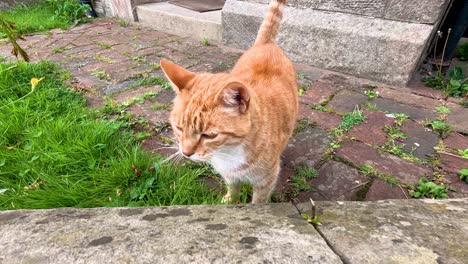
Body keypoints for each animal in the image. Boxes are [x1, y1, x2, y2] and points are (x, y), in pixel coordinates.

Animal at [161, 0, 298, 204]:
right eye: (179, 128)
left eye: (209, 135)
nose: (186, 153)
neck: (228, 152)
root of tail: (266, 44)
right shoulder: (229, 175)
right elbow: (232, 190)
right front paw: (229, 201)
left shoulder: (265, 181)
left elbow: (258, 202)